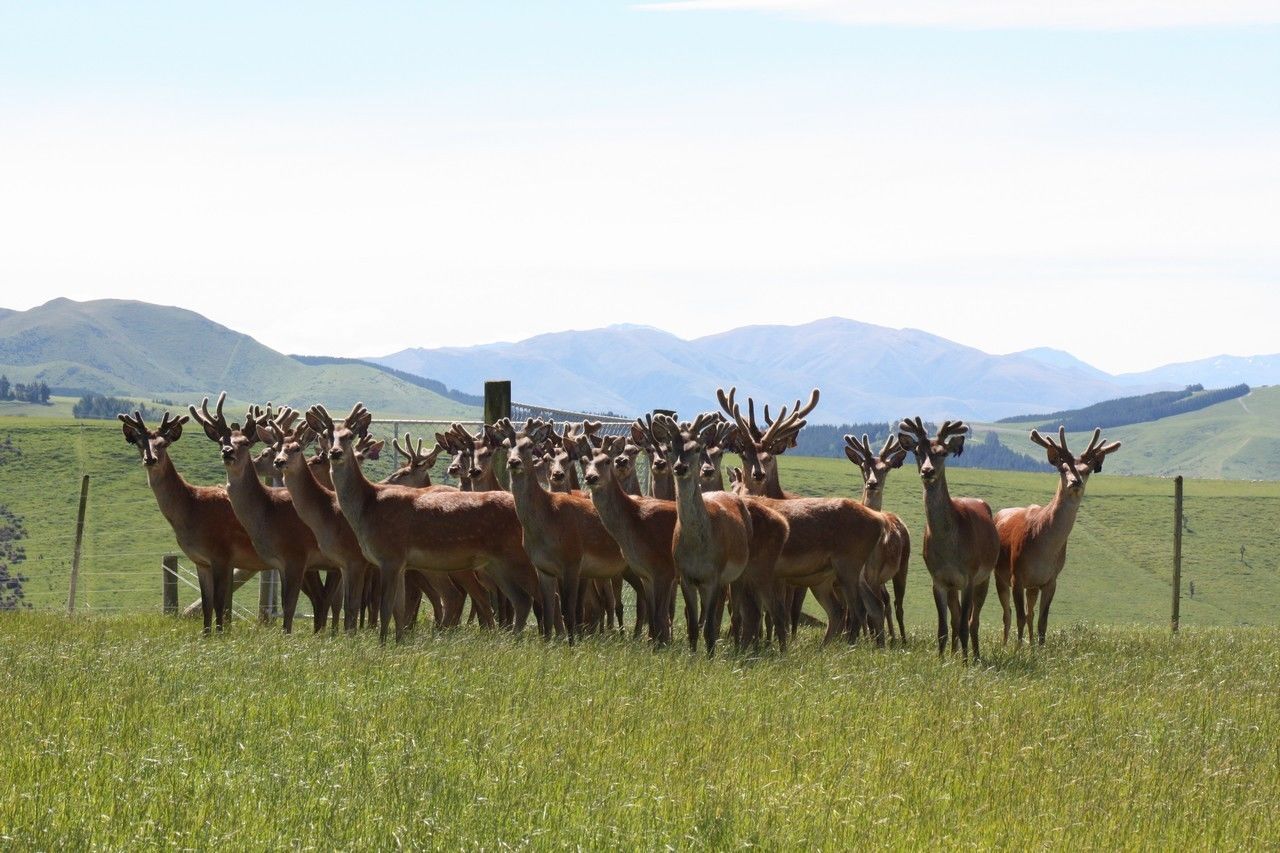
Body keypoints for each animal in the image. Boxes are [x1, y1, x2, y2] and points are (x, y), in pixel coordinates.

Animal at [844, 432, 916, 637]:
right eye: (863, 466)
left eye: (886, 469)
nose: (872, 483)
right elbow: (856, 610)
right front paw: (856, 636)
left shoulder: (875, 573)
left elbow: (872, 610)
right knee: (886, 601)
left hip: (903, 565)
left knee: (896, 604)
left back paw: (901, 638)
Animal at [890, 414, 998, 653]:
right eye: (917, 451)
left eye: (942, 453)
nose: (927, 471)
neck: (950, 550)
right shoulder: (938, 579)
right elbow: (942, 628)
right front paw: (941, 658)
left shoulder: (969, 576)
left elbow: (965, 625)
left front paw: (966, 660)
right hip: (953, 586)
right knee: (956, 618)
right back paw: (955, 652)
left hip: (985, 576)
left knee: (973, 621)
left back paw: (976, 655)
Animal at [988, 425, 1121, 645]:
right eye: (1062, 468)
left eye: (1087, 470)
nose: (1075, 481)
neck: (1043, 550)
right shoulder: (1017, 575)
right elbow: (1019, 617)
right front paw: (1017, 649)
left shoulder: (1051, 579)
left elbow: (1043, 620)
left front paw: (1041, 648)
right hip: (999, 574)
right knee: (1007, 613)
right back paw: (1005, 644)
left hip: (1032, 585)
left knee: (1030, 612)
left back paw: (1031, 645)